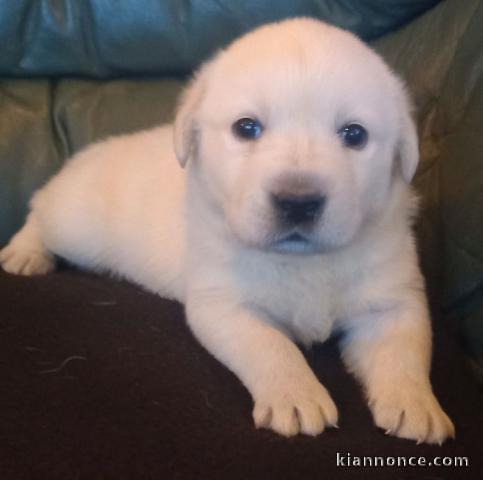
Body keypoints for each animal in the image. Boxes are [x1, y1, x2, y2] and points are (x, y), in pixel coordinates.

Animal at [0, 19, 454, 446]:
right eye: (246, 128)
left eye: (354, 134)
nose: (297, 202)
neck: (303, 262)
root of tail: (91, 151)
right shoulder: (224, 305)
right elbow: (270, 345)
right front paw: (295, 395)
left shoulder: (394, 299)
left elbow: (404, 351)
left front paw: (416, 404)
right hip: (76, 226)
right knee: (40, 208)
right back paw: (24, 252)